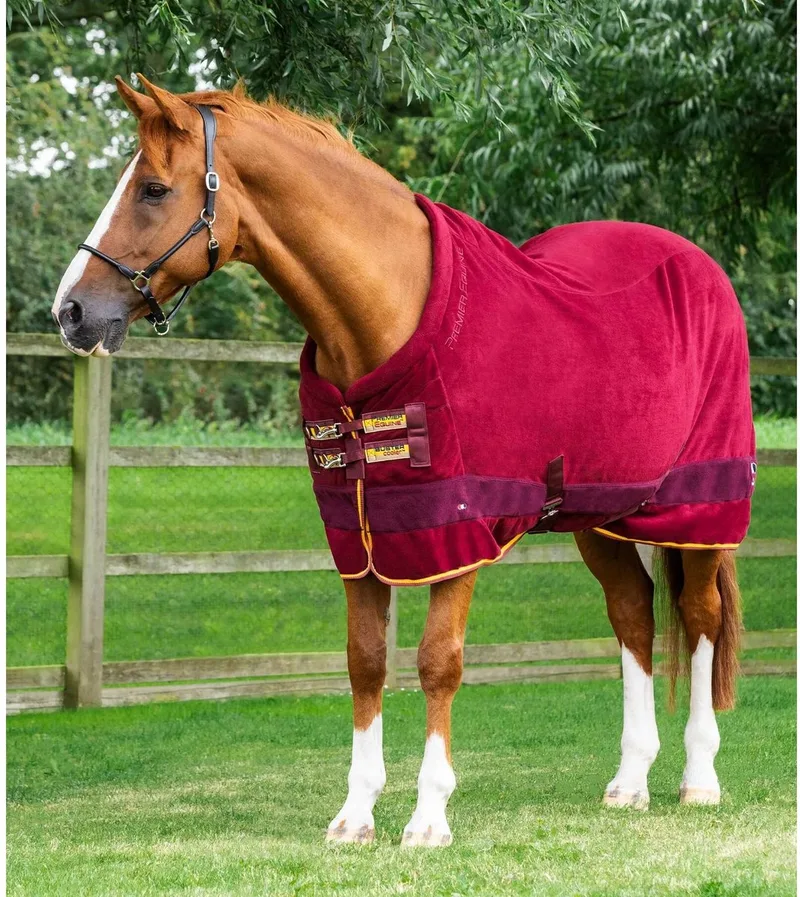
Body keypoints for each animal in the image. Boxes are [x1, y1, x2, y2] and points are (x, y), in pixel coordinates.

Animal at [52, 77, 755, 847]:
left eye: (152, 188)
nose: (71, 311)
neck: (386, 313)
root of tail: (700, 266)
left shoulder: (457, 530)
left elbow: (436, 662)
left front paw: (428, 817)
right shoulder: (361, 535)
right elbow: (365, 662)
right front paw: (355, 815)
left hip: (698, 506)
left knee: (700, 615)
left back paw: (700, 777)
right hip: (598, 514)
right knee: (633, 612)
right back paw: (630, 781)